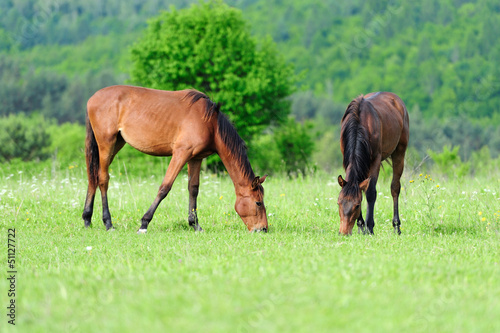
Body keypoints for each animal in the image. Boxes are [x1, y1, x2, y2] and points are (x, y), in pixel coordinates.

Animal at [82, 84, 270, 232]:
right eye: (258, 203)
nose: (263, 229)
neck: (210, 123)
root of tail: (92, 98)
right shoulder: (181, 153)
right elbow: (165, 187)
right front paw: (144, 223)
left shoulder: (195, 158)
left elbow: (193, 189)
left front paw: (195, 224)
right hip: (106, 143)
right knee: (103, 179)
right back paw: (108, 223)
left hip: (116, 144)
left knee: (93, 177)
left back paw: (87, 218)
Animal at [336, 92, 410, 235]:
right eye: (339, 203)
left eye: (357, 205)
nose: (344, 232)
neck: (360, 124)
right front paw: (360, 226)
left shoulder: (375, 160)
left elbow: (370, 192)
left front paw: (369, 228)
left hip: (399, 152)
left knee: (395, 188)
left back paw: (396, 226)